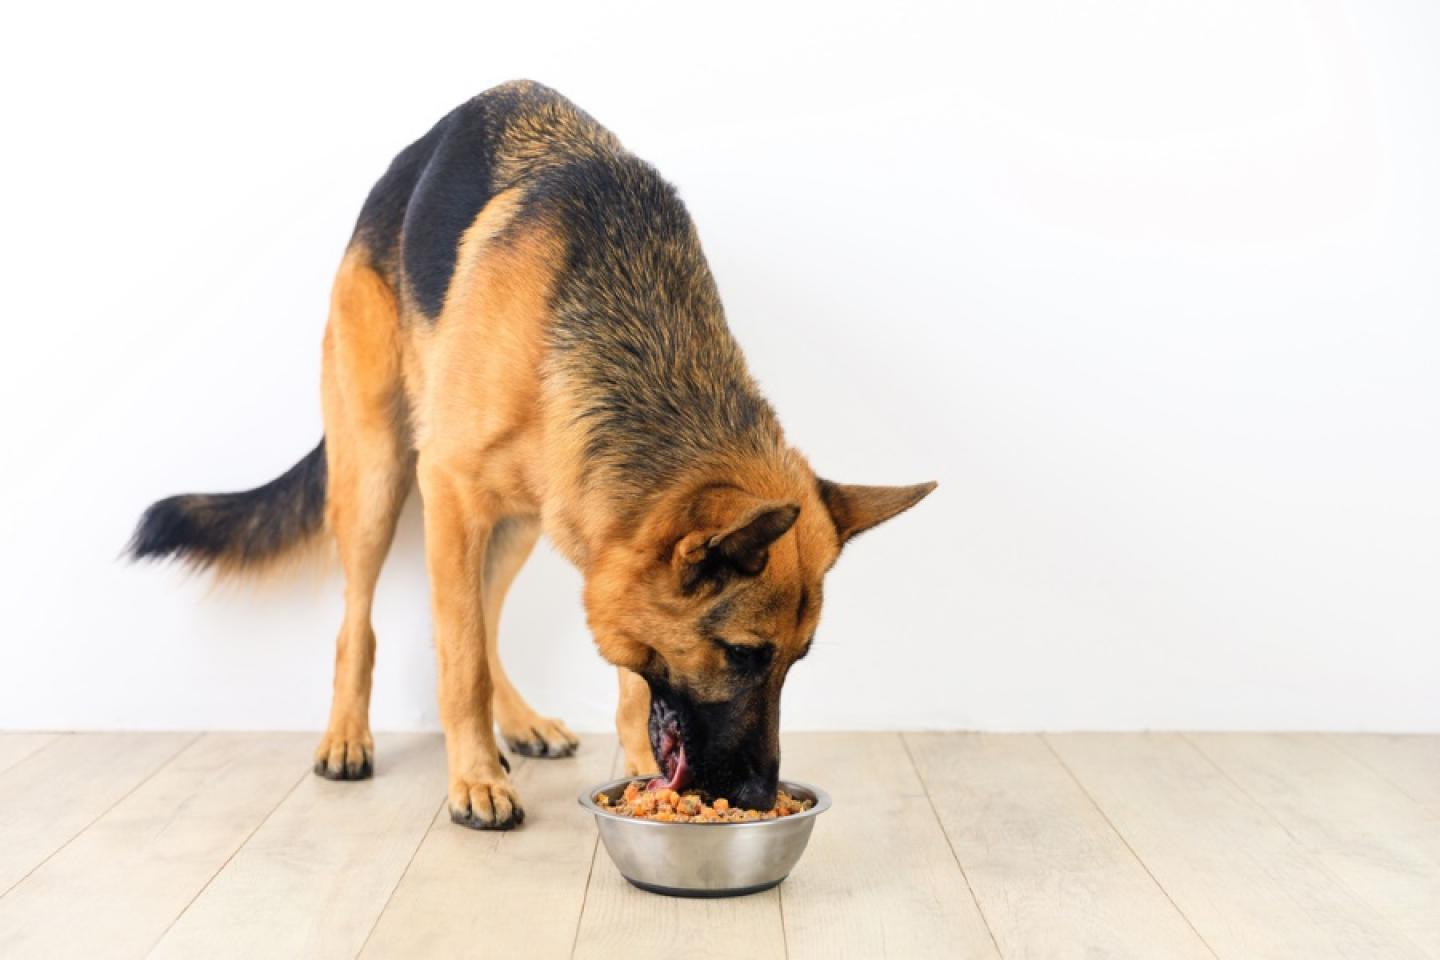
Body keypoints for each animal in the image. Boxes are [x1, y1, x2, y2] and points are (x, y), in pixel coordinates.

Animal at [129, 80, 938, 834]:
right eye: (743, 655)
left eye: (797, 660)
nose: (757, 798)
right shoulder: (450, 489)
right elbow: (458, 664)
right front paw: (476, 781)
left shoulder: (597, 531)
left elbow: (613, 678)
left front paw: (632, 768)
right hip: (380, 478)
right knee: (365, 622)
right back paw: (349, 737)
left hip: (521, 520)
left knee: (483, 619)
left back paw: (516, 722)